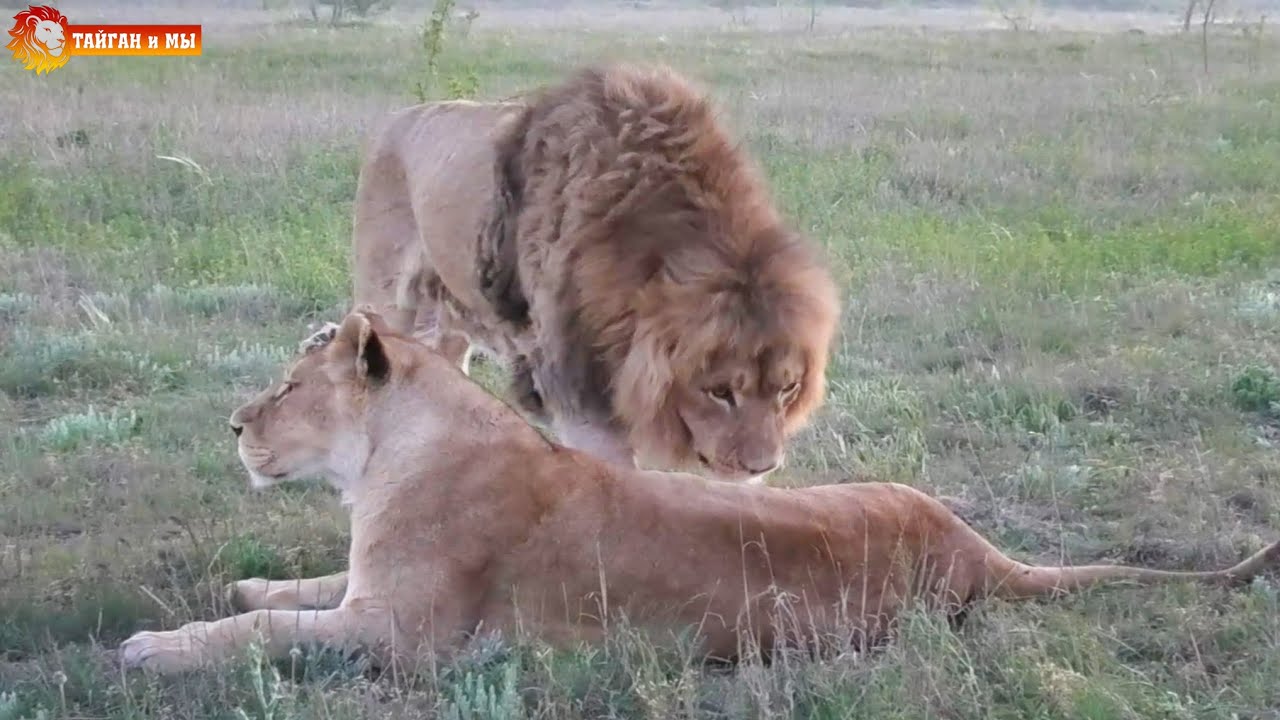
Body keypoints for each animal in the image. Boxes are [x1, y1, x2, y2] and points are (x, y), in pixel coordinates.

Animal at [117, 309, 1280, 675]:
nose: (234, 426)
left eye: (288, 385)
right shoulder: (364, 590)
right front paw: (246, 584)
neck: (383, 460)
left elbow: (269, 635)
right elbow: (290, 594)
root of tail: (977, 553)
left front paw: (152, 646)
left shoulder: (403, 635)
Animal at [347, 63, 840, 485]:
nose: (763, 466)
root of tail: (397, 119)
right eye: (719, 391)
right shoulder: (576, 389)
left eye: (788, 388)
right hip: (386, 298)